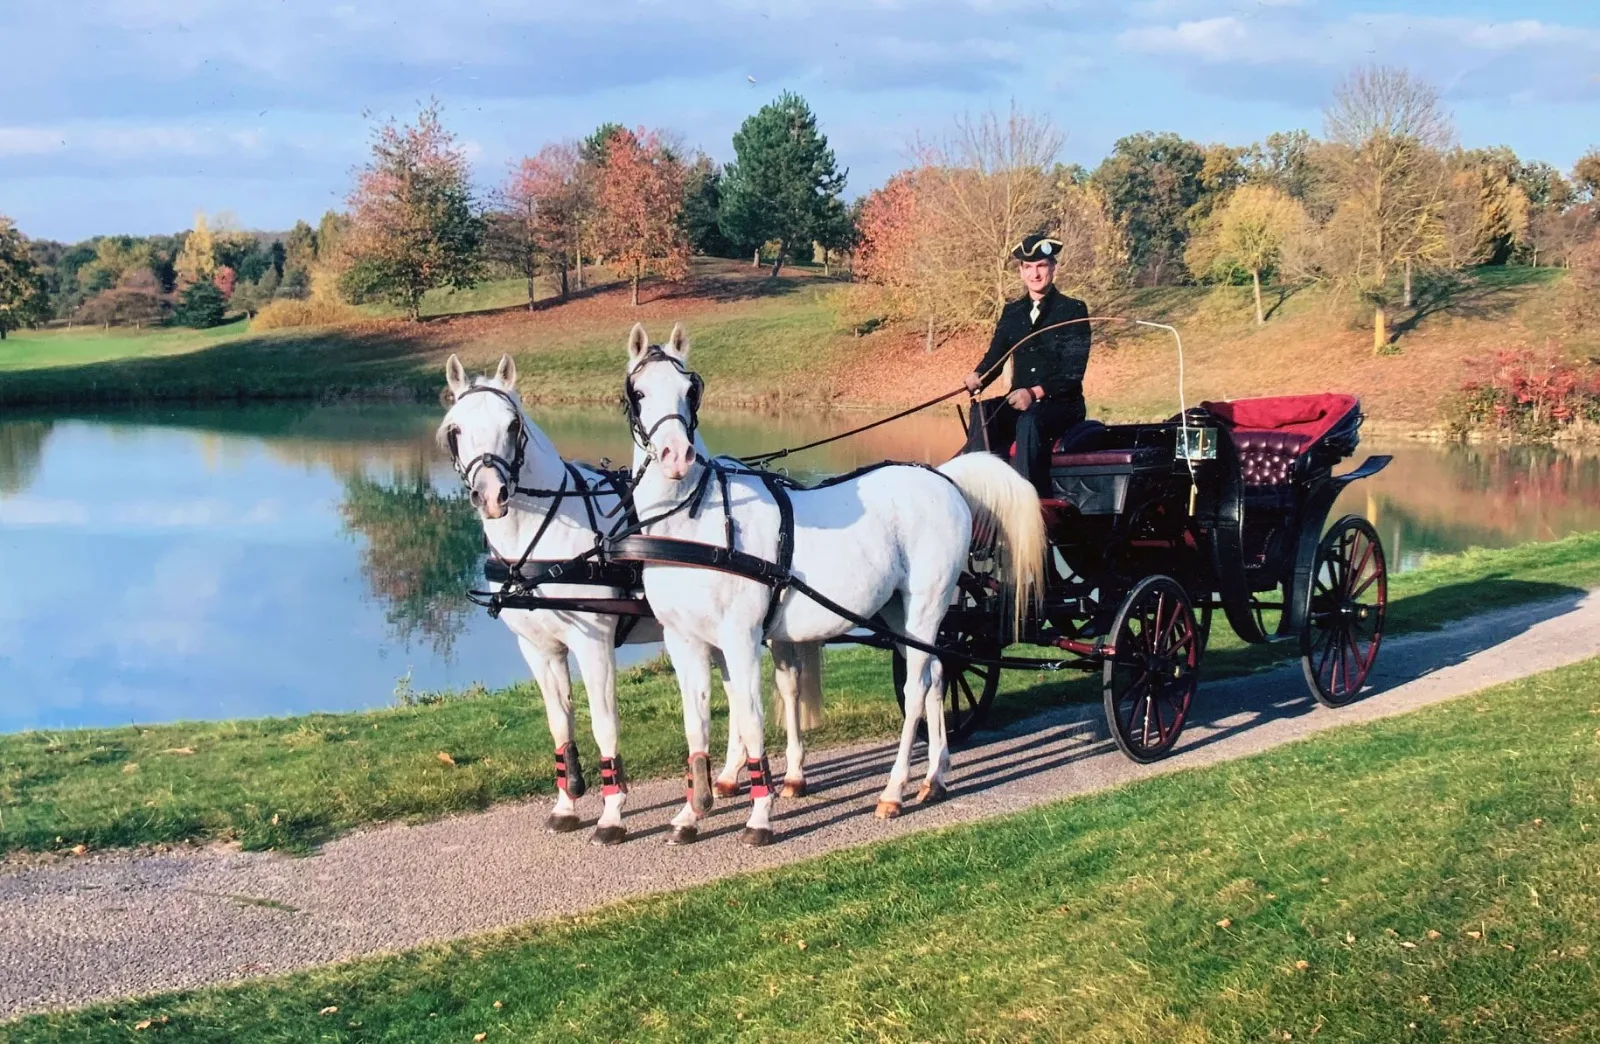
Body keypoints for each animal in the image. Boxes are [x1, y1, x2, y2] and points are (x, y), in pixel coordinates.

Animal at [439, 352, 664, 846]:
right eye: (456, 429)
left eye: (512, 425)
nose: (491, 495)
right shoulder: (539, 649)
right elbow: (559, 721)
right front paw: (567, 803)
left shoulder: (594, 644)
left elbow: (604, 721)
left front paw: (612, 813)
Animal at [623, 323, 1047, 847]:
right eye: (639, 393)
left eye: (689, 390)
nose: (676, 456)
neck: (695, 524)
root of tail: (942, 478)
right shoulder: (684, 641)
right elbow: (696, 725)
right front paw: (690, 813)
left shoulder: (740, 639)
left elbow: (751, 718)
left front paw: (759, 815)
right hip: (900, 614)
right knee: (935, 675)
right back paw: (935, 777)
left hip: (927, 605)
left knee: (915, 689)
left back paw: (894, 790)